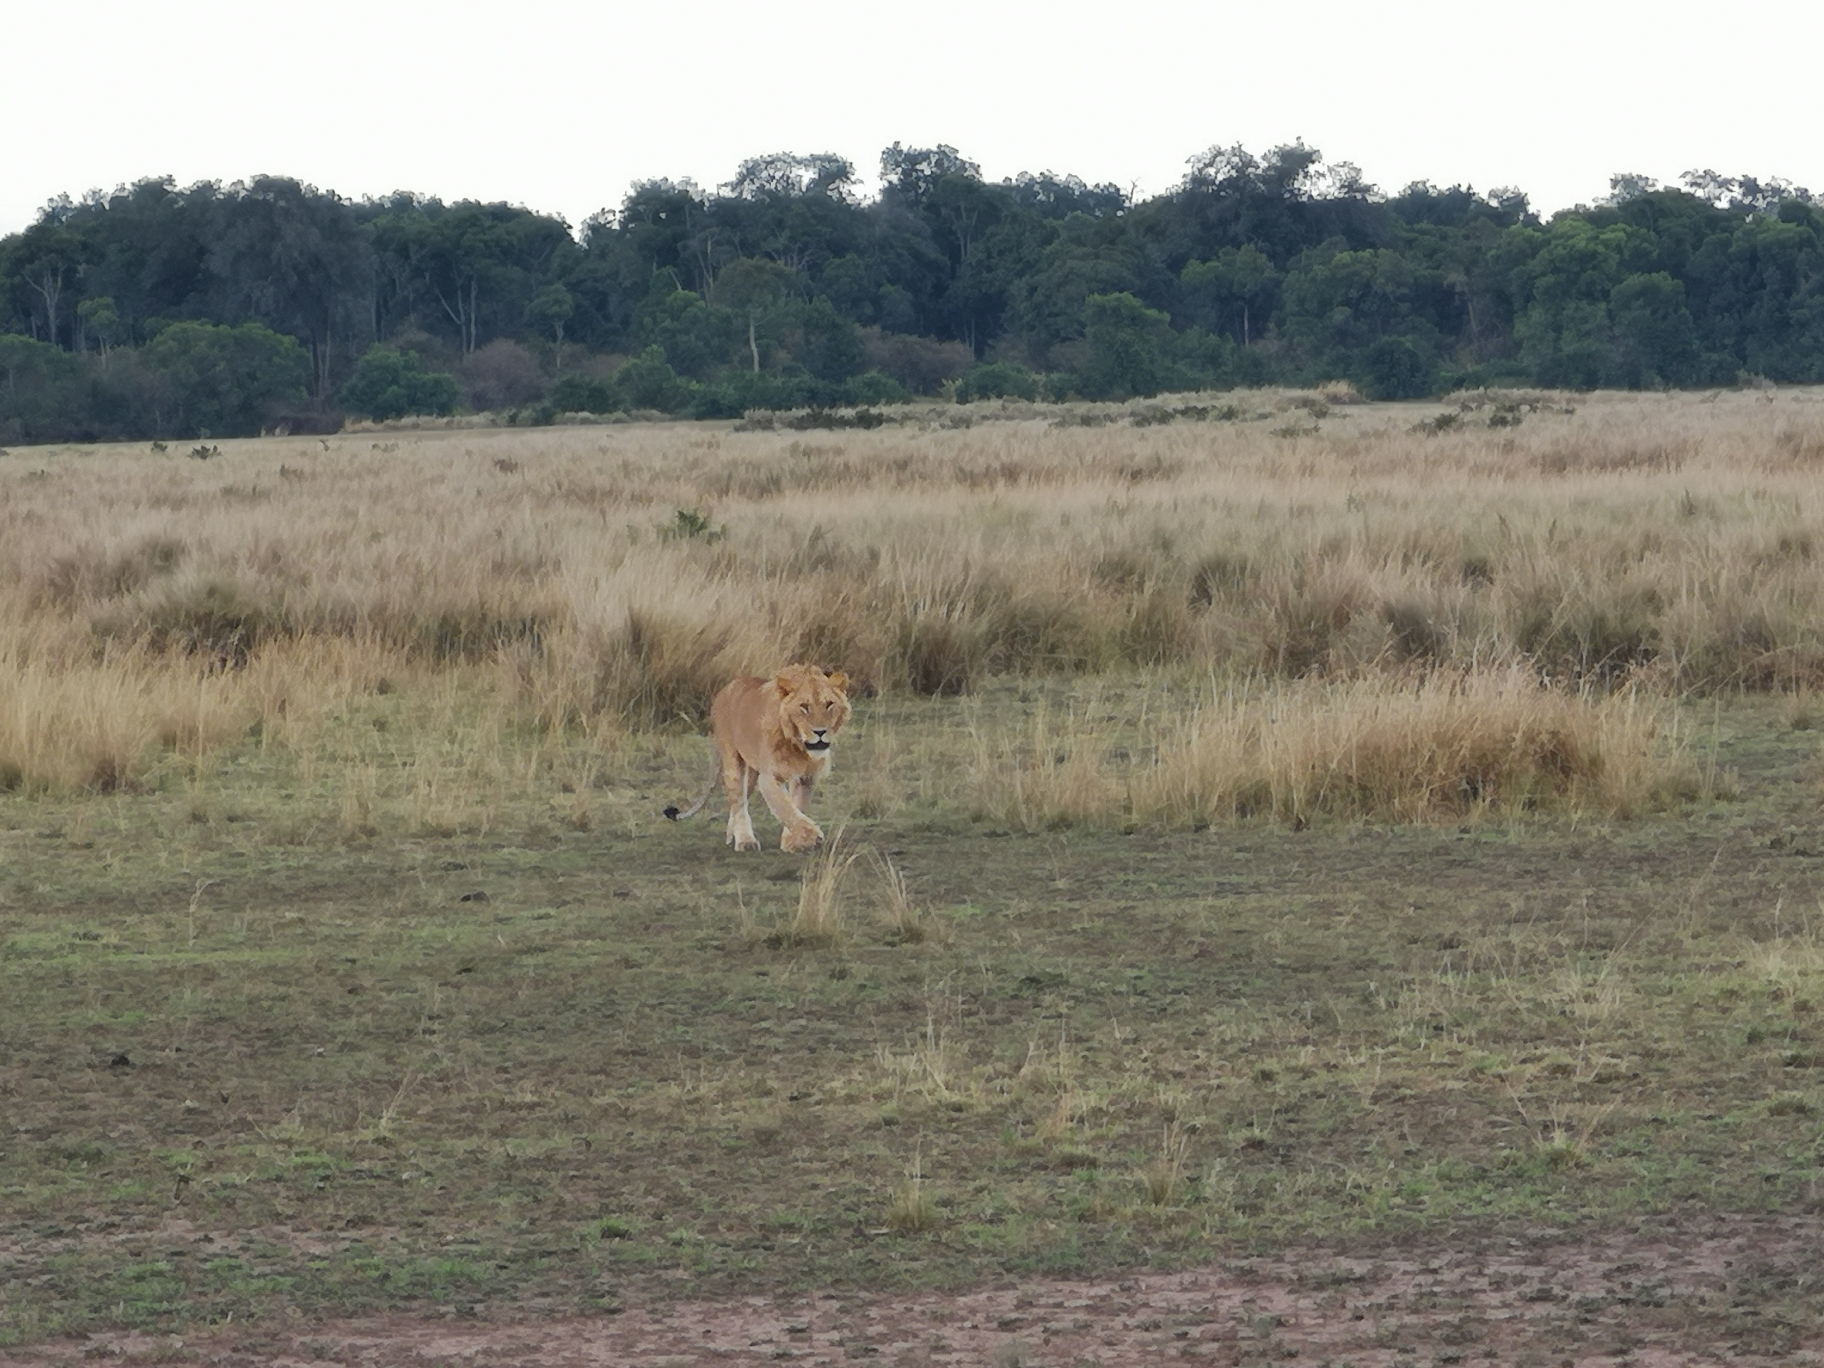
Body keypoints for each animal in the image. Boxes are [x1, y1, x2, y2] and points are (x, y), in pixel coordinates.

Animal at [663, 667, 853, 853]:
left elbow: (796, 805)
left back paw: (732, 835)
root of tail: (724, 690)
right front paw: (813, 835)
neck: (798, 746)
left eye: (829, 704)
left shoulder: (807, 777)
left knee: (740, 802)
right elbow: (785, 808)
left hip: (752, 773)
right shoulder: (769, 777)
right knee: (738, 801)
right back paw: (745, 841)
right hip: (733, 762)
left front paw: (791, 842)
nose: (820, 732)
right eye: (804, 707)